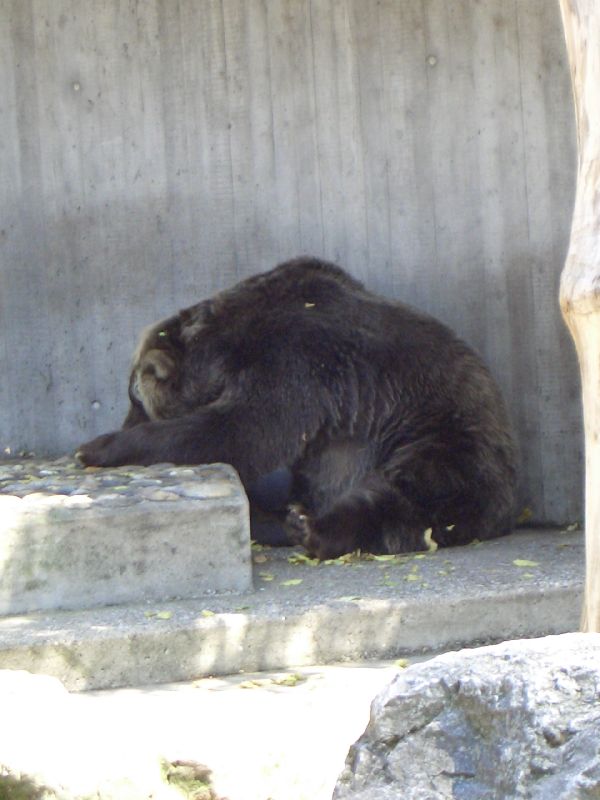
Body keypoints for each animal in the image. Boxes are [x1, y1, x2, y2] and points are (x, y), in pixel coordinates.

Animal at [77, 260, 516, 560]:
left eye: (134, 399)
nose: (123, 416)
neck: (226, 348)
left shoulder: (295, 360)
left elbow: (244, 431)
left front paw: (99, 446)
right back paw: (282, 517)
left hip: (443, 437)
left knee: (404, 494)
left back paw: (311, 528)